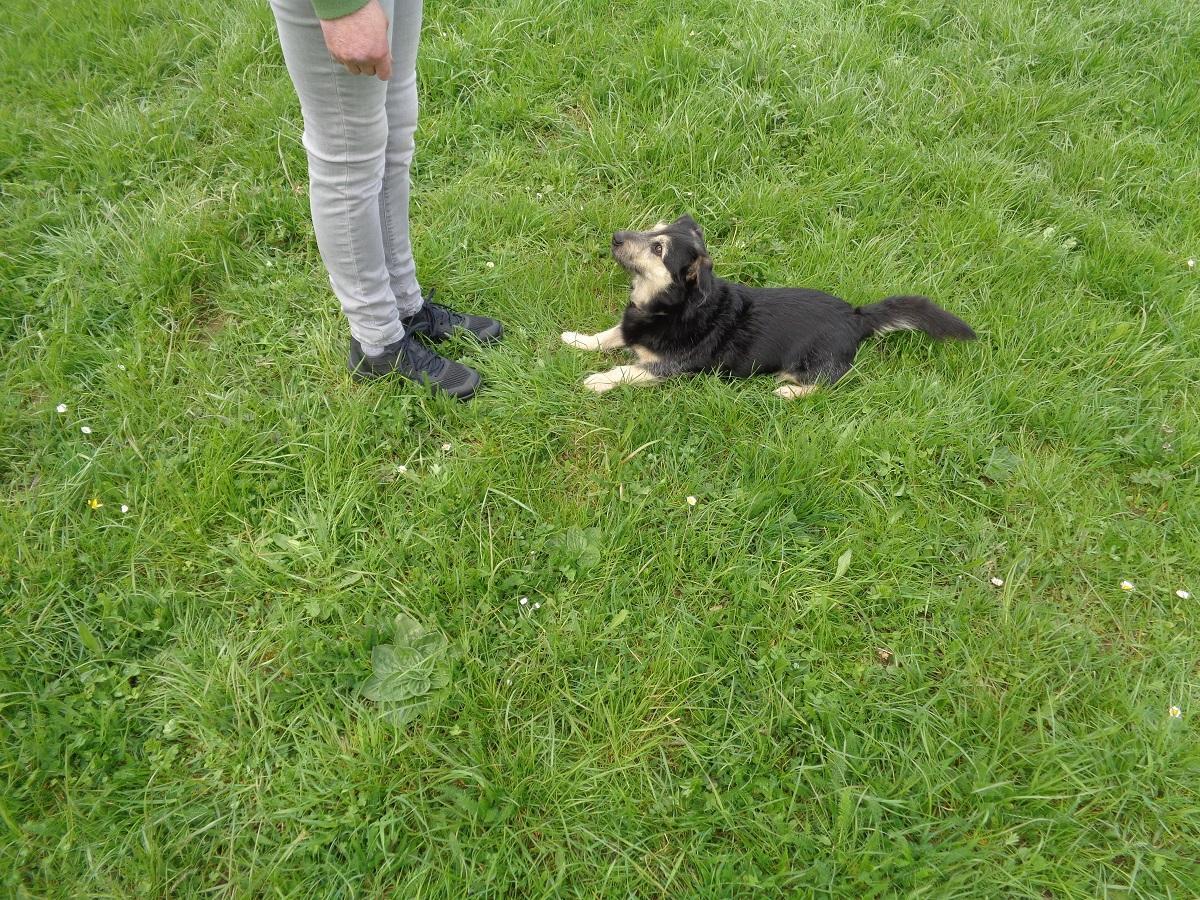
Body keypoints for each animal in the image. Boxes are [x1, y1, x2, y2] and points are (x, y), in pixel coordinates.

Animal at [561, 214, 974, 398]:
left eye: (658, 248)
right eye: (652, 227)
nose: (615, 237)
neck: (667, 306)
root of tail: (857, 317)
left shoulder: (670, 366)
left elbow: (628, 369)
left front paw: (599, 380)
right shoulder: (630, 327)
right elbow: (607, 335)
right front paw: (577, 340)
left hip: (815, 364)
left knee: (831, 383)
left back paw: (789, 390)